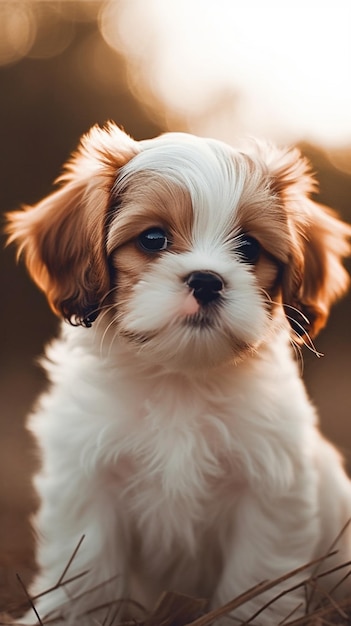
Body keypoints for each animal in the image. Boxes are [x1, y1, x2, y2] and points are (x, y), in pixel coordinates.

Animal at [4, 124, 351, 620]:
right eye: (153, 239)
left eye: (249, 247)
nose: (206, 280)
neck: (179, 378)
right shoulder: (88, 482)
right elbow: (87, 570)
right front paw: (72, 617)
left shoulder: (268, 493)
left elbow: (255, 578)